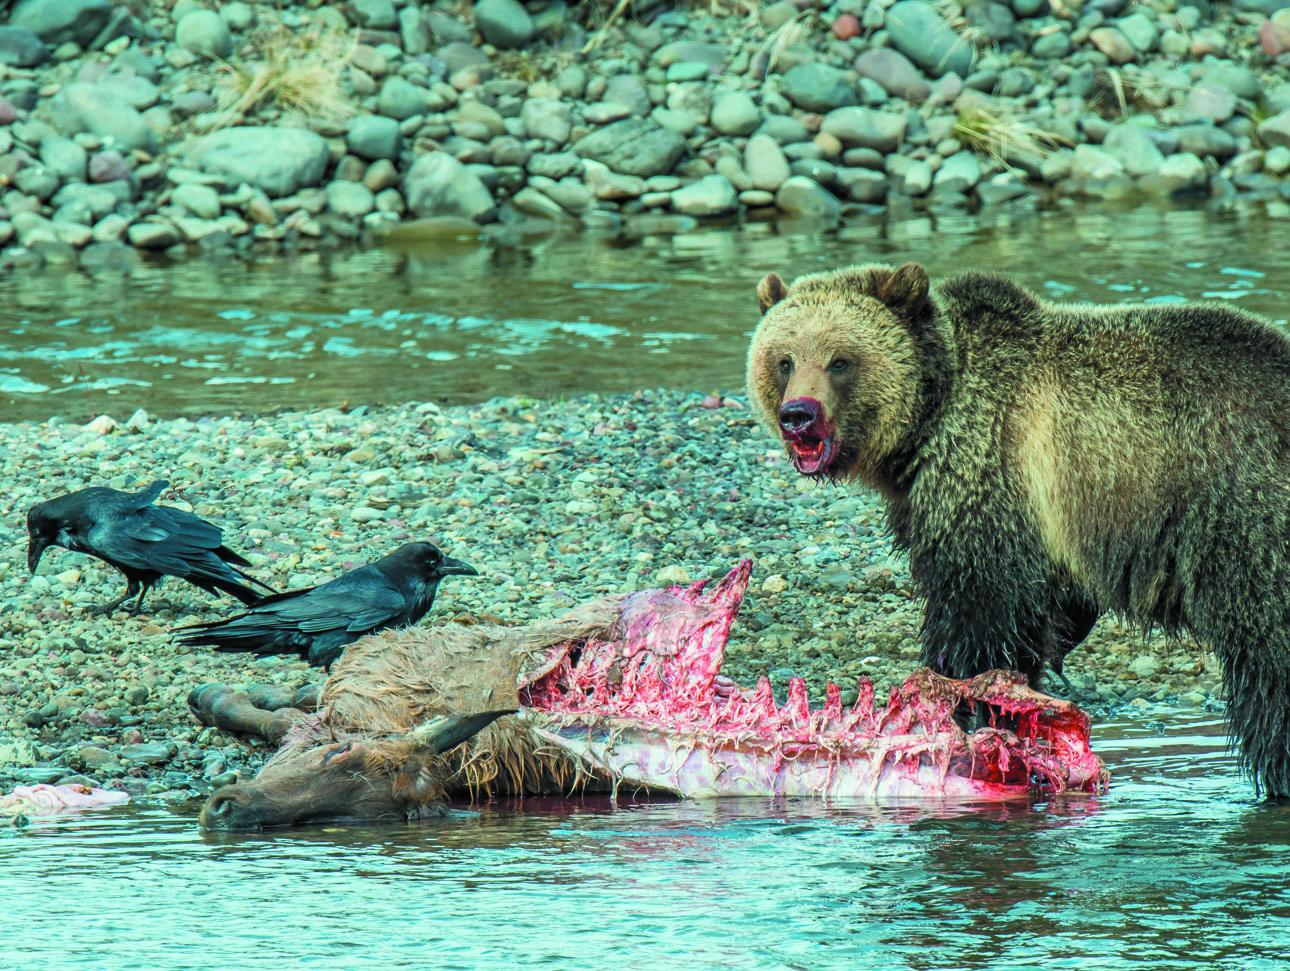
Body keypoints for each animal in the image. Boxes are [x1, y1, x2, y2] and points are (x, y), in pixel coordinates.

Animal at [753, 261, 1290, 799]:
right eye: (784, 360)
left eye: (840, 361)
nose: (798, 414)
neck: (927, 420)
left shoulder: (991, 480)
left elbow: (983, 617)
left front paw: (963, 702)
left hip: (1238, 515)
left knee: (1267, 654)